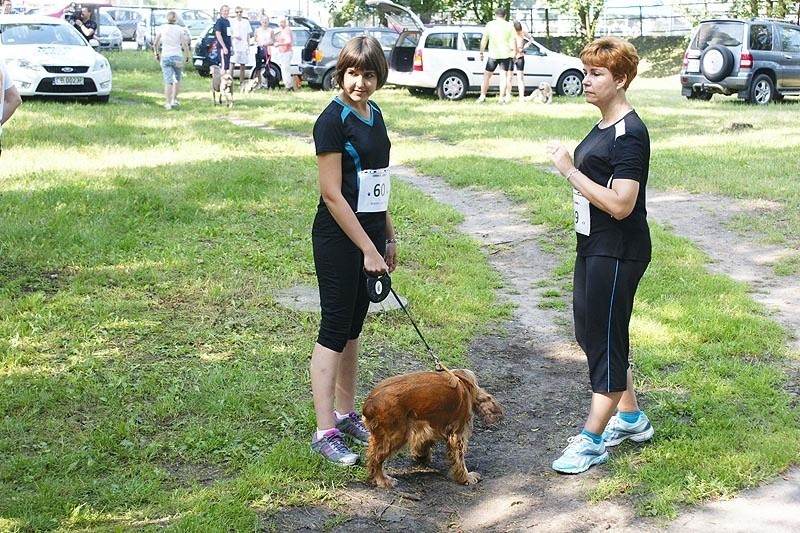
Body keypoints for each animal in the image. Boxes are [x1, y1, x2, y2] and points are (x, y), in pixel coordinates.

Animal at [364, 370, 504, 486]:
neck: (463, 382)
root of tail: (369, 405)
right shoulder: (457, 433)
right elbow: (459, 459)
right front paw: (466, 478)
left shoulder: (429, 425)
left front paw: (421, 456)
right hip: (394, 435)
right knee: (375, 459)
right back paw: (383, 480)